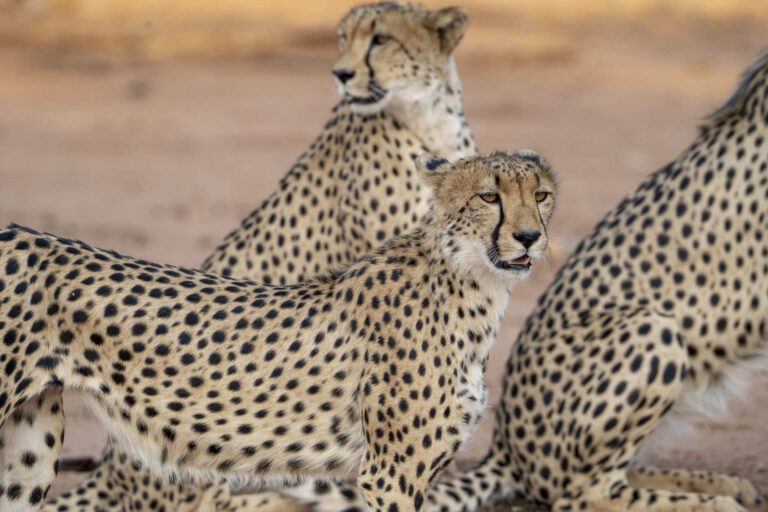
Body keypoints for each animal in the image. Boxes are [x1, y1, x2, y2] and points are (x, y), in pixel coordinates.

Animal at [0, 150, 557, 512]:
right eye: (489, 196)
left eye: (542, 195)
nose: (530, 236)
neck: (469, 280)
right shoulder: (391, 474)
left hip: (29, 449)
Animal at [279, 47, 768, 512]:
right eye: (490, 198)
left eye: (541, 196)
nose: (530, 237)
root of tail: (508, 449)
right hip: (651, 325)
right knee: (581, 493)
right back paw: (715, 501)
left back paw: (721, 485)